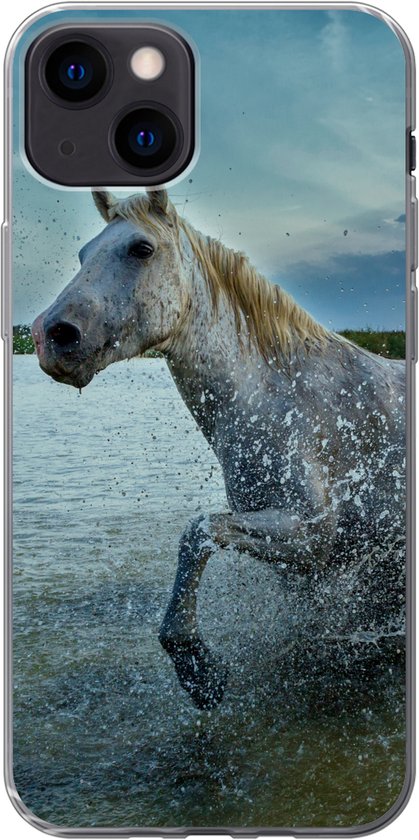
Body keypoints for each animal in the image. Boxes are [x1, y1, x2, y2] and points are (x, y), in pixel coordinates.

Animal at [32, 188, 405, 710]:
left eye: (142, 249)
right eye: (84, 253)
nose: (52, 335)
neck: (280, 398)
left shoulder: (312, 534)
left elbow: (198, 533)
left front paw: (196, 666)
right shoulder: (301, 558)